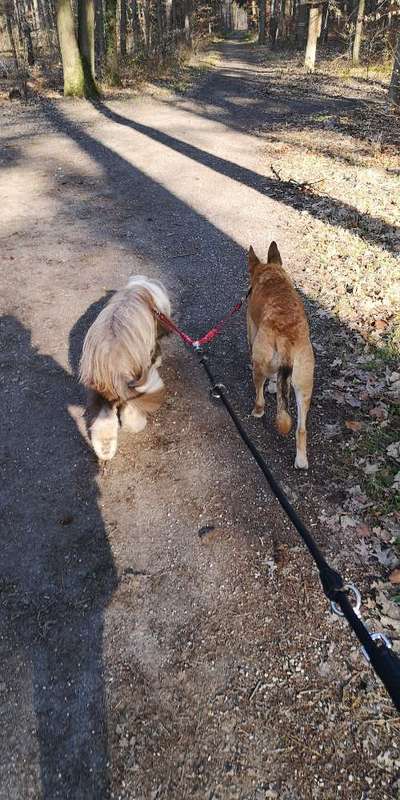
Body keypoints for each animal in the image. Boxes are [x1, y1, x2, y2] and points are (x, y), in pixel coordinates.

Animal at [247, 242, 316, 468]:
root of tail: (287, 338)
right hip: (304, 385)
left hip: (258, 361)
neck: (272, 274)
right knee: (301, 429)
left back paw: (257, 411)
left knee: (259, 395)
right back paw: (301, 460)